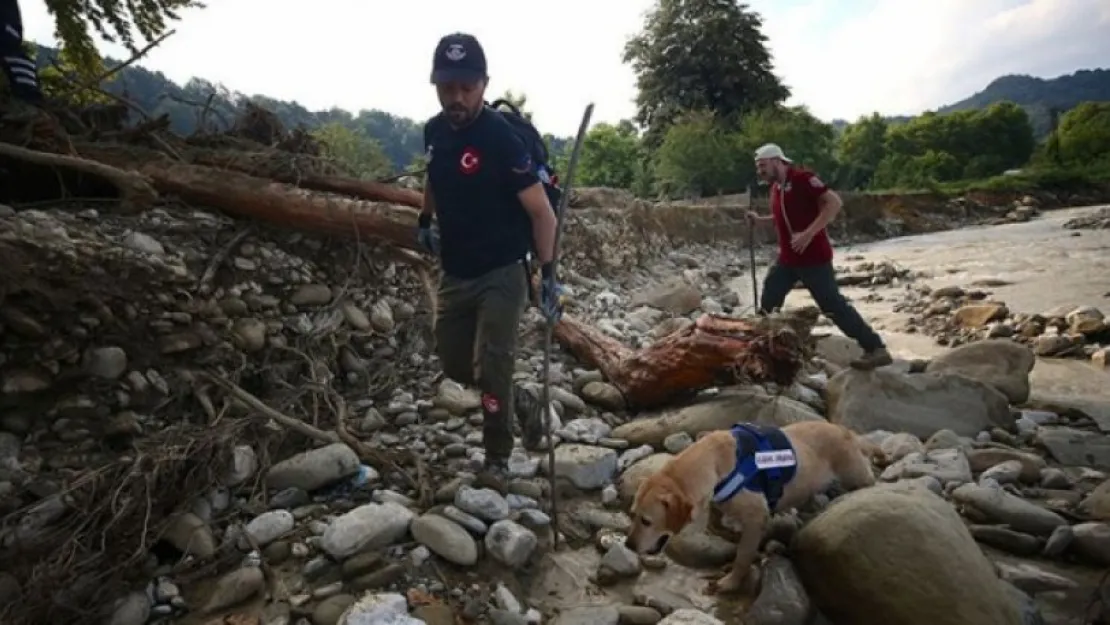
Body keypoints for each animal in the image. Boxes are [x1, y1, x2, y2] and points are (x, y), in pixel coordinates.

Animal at [626, 419, 874, 590]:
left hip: (855, 473)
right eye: (633, 514)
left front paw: (731, 582)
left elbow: (744, 555)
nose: (628, 545)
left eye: (646, 521)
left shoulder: (757, 518)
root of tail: (847, 432)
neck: (714, 464)